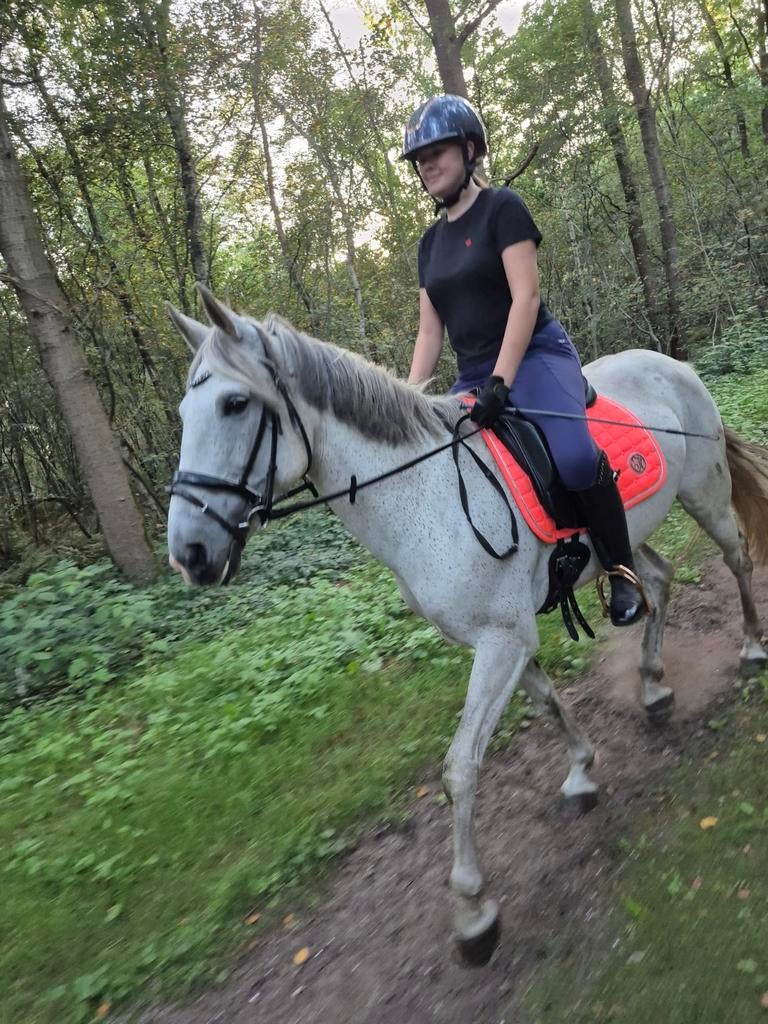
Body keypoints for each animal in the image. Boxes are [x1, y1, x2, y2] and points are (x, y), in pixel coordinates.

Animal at [166, 286, 768, 965]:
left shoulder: (502, 639)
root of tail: (671, 364)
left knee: (737, 559)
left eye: (235, 403)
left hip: (703, 493)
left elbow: (460, 768)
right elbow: (547, 703)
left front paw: (473, 909)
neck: (425, 495)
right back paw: (654, 685)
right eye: (186, 412)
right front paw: (581, 772)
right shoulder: (501, 637)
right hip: (624, 543)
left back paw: (750, 648)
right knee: (657, 584)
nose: (188, 553)